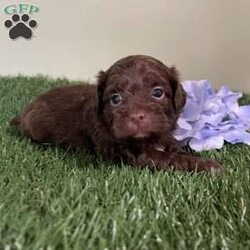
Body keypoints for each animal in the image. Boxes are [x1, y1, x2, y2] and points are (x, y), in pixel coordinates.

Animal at [10, 55, 223, 171]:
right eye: (115, 98)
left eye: (157, 93)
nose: (137, 116)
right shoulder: (131, 153)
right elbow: (167, 158)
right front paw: (207, 166)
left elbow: (173, 149)